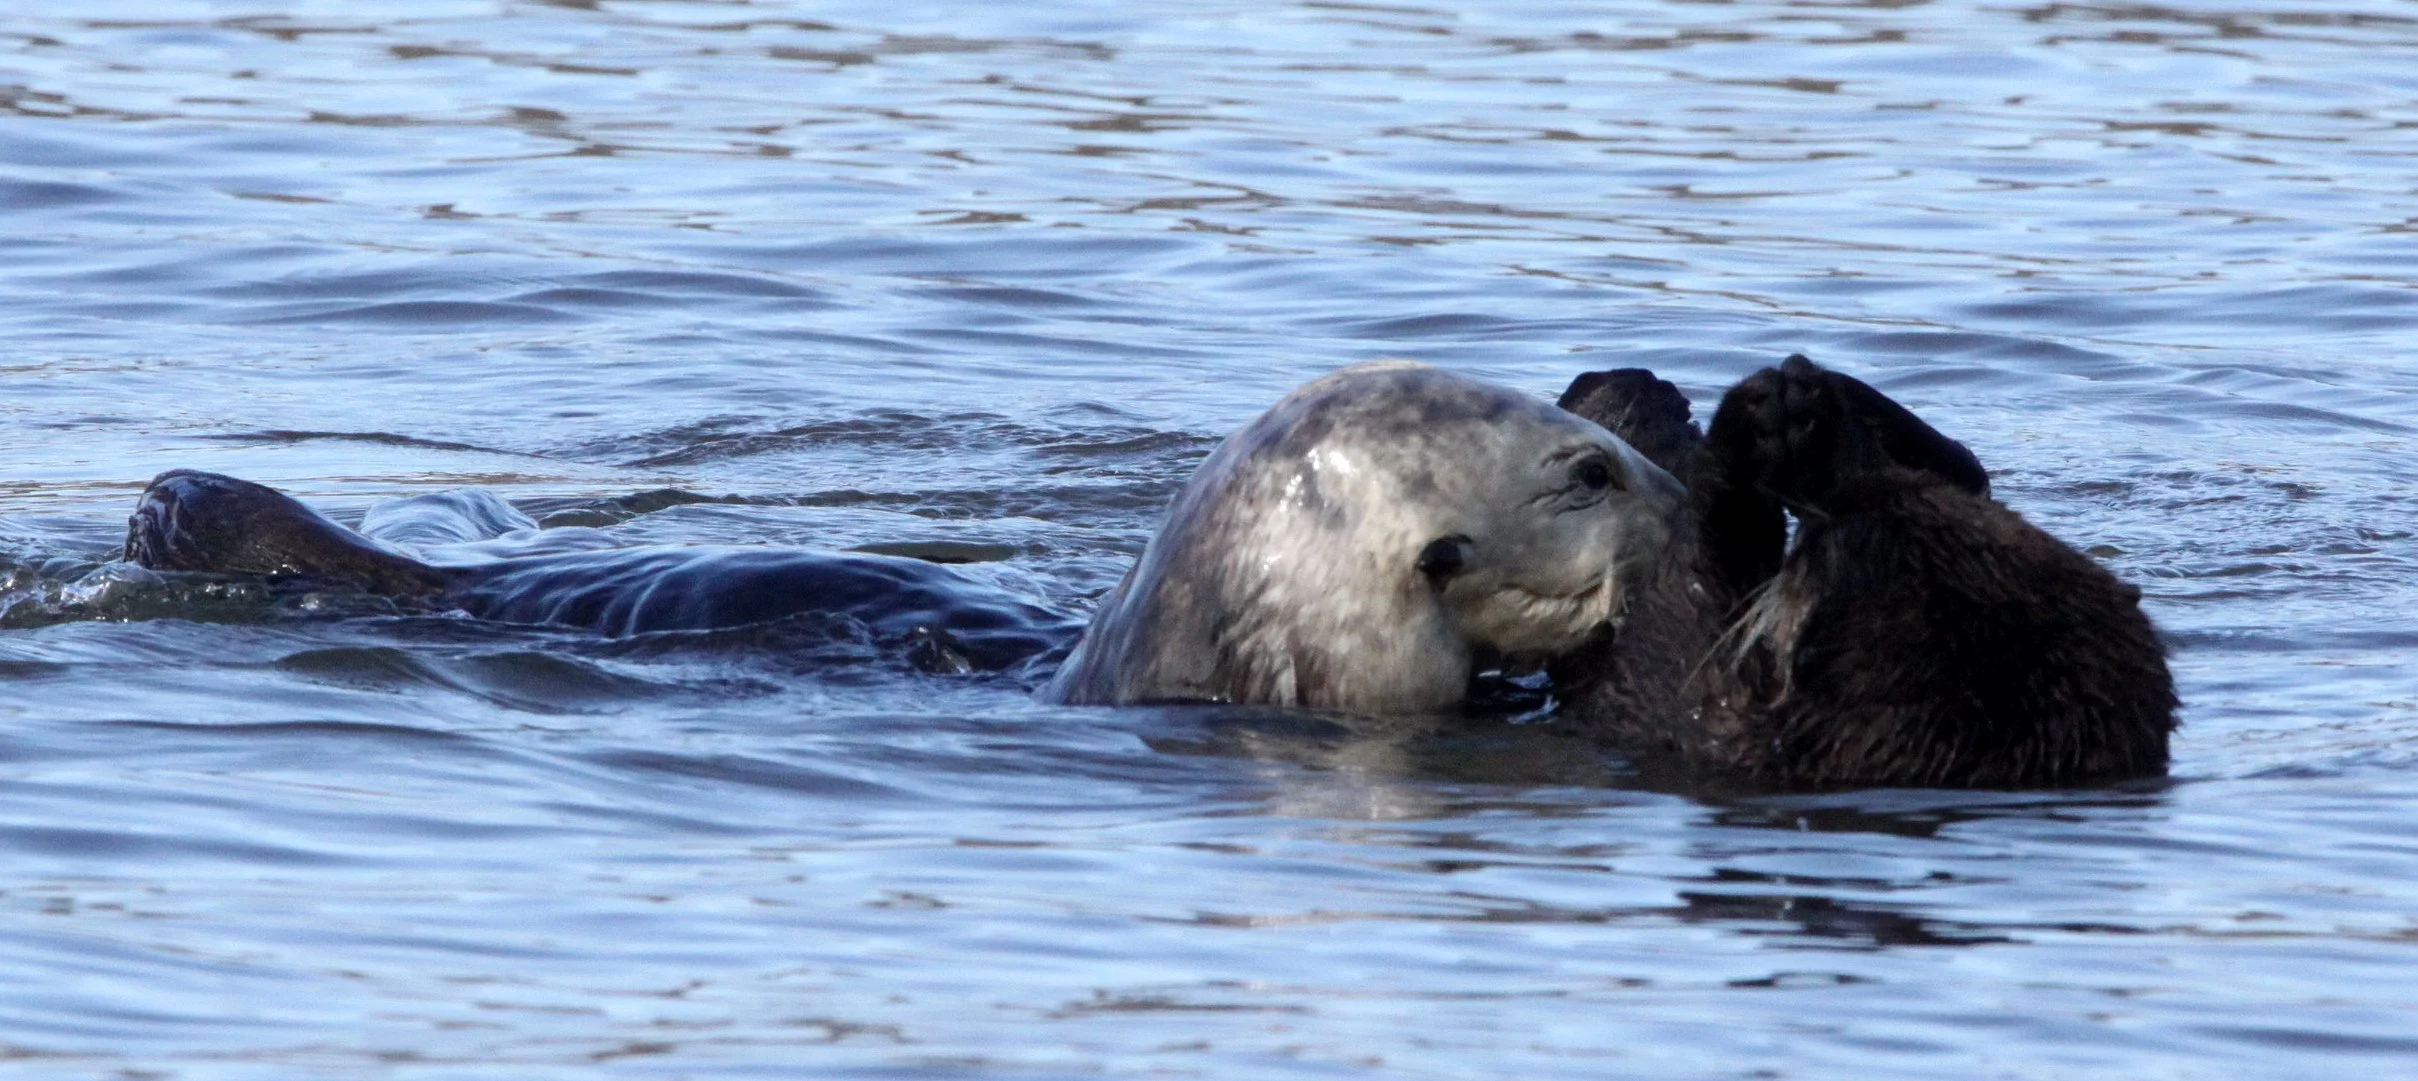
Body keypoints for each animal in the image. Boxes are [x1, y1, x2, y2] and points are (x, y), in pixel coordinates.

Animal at [1552, 355, 2176, 789]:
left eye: (1820, 544)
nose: (1843, 490)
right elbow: (1967, 476)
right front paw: (1809, 399)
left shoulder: (1685, 711)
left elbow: (1686, 599)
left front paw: (1747, 425)